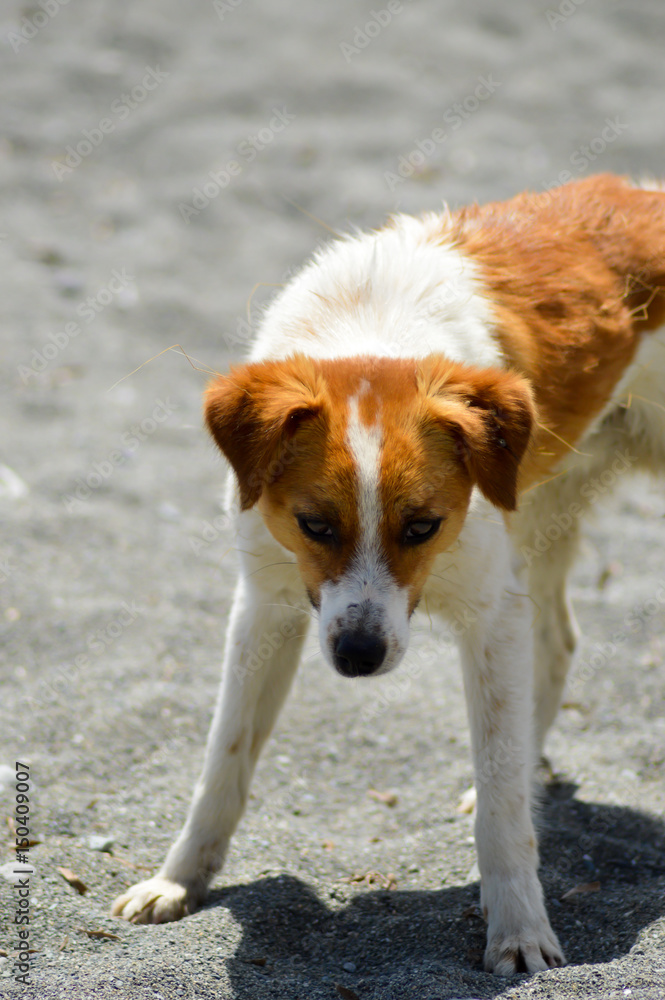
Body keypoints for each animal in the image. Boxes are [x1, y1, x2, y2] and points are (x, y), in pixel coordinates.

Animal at [114, 174, 664, 976]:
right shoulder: (266, 606)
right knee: (558, 643)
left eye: (422, 526)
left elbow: (501, 808)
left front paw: (518, 929)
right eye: (315, 525)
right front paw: (178, 881)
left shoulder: (487, 612)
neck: (372, 327)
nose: (358, 658)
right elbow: (224, 760)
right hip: (540, 515)